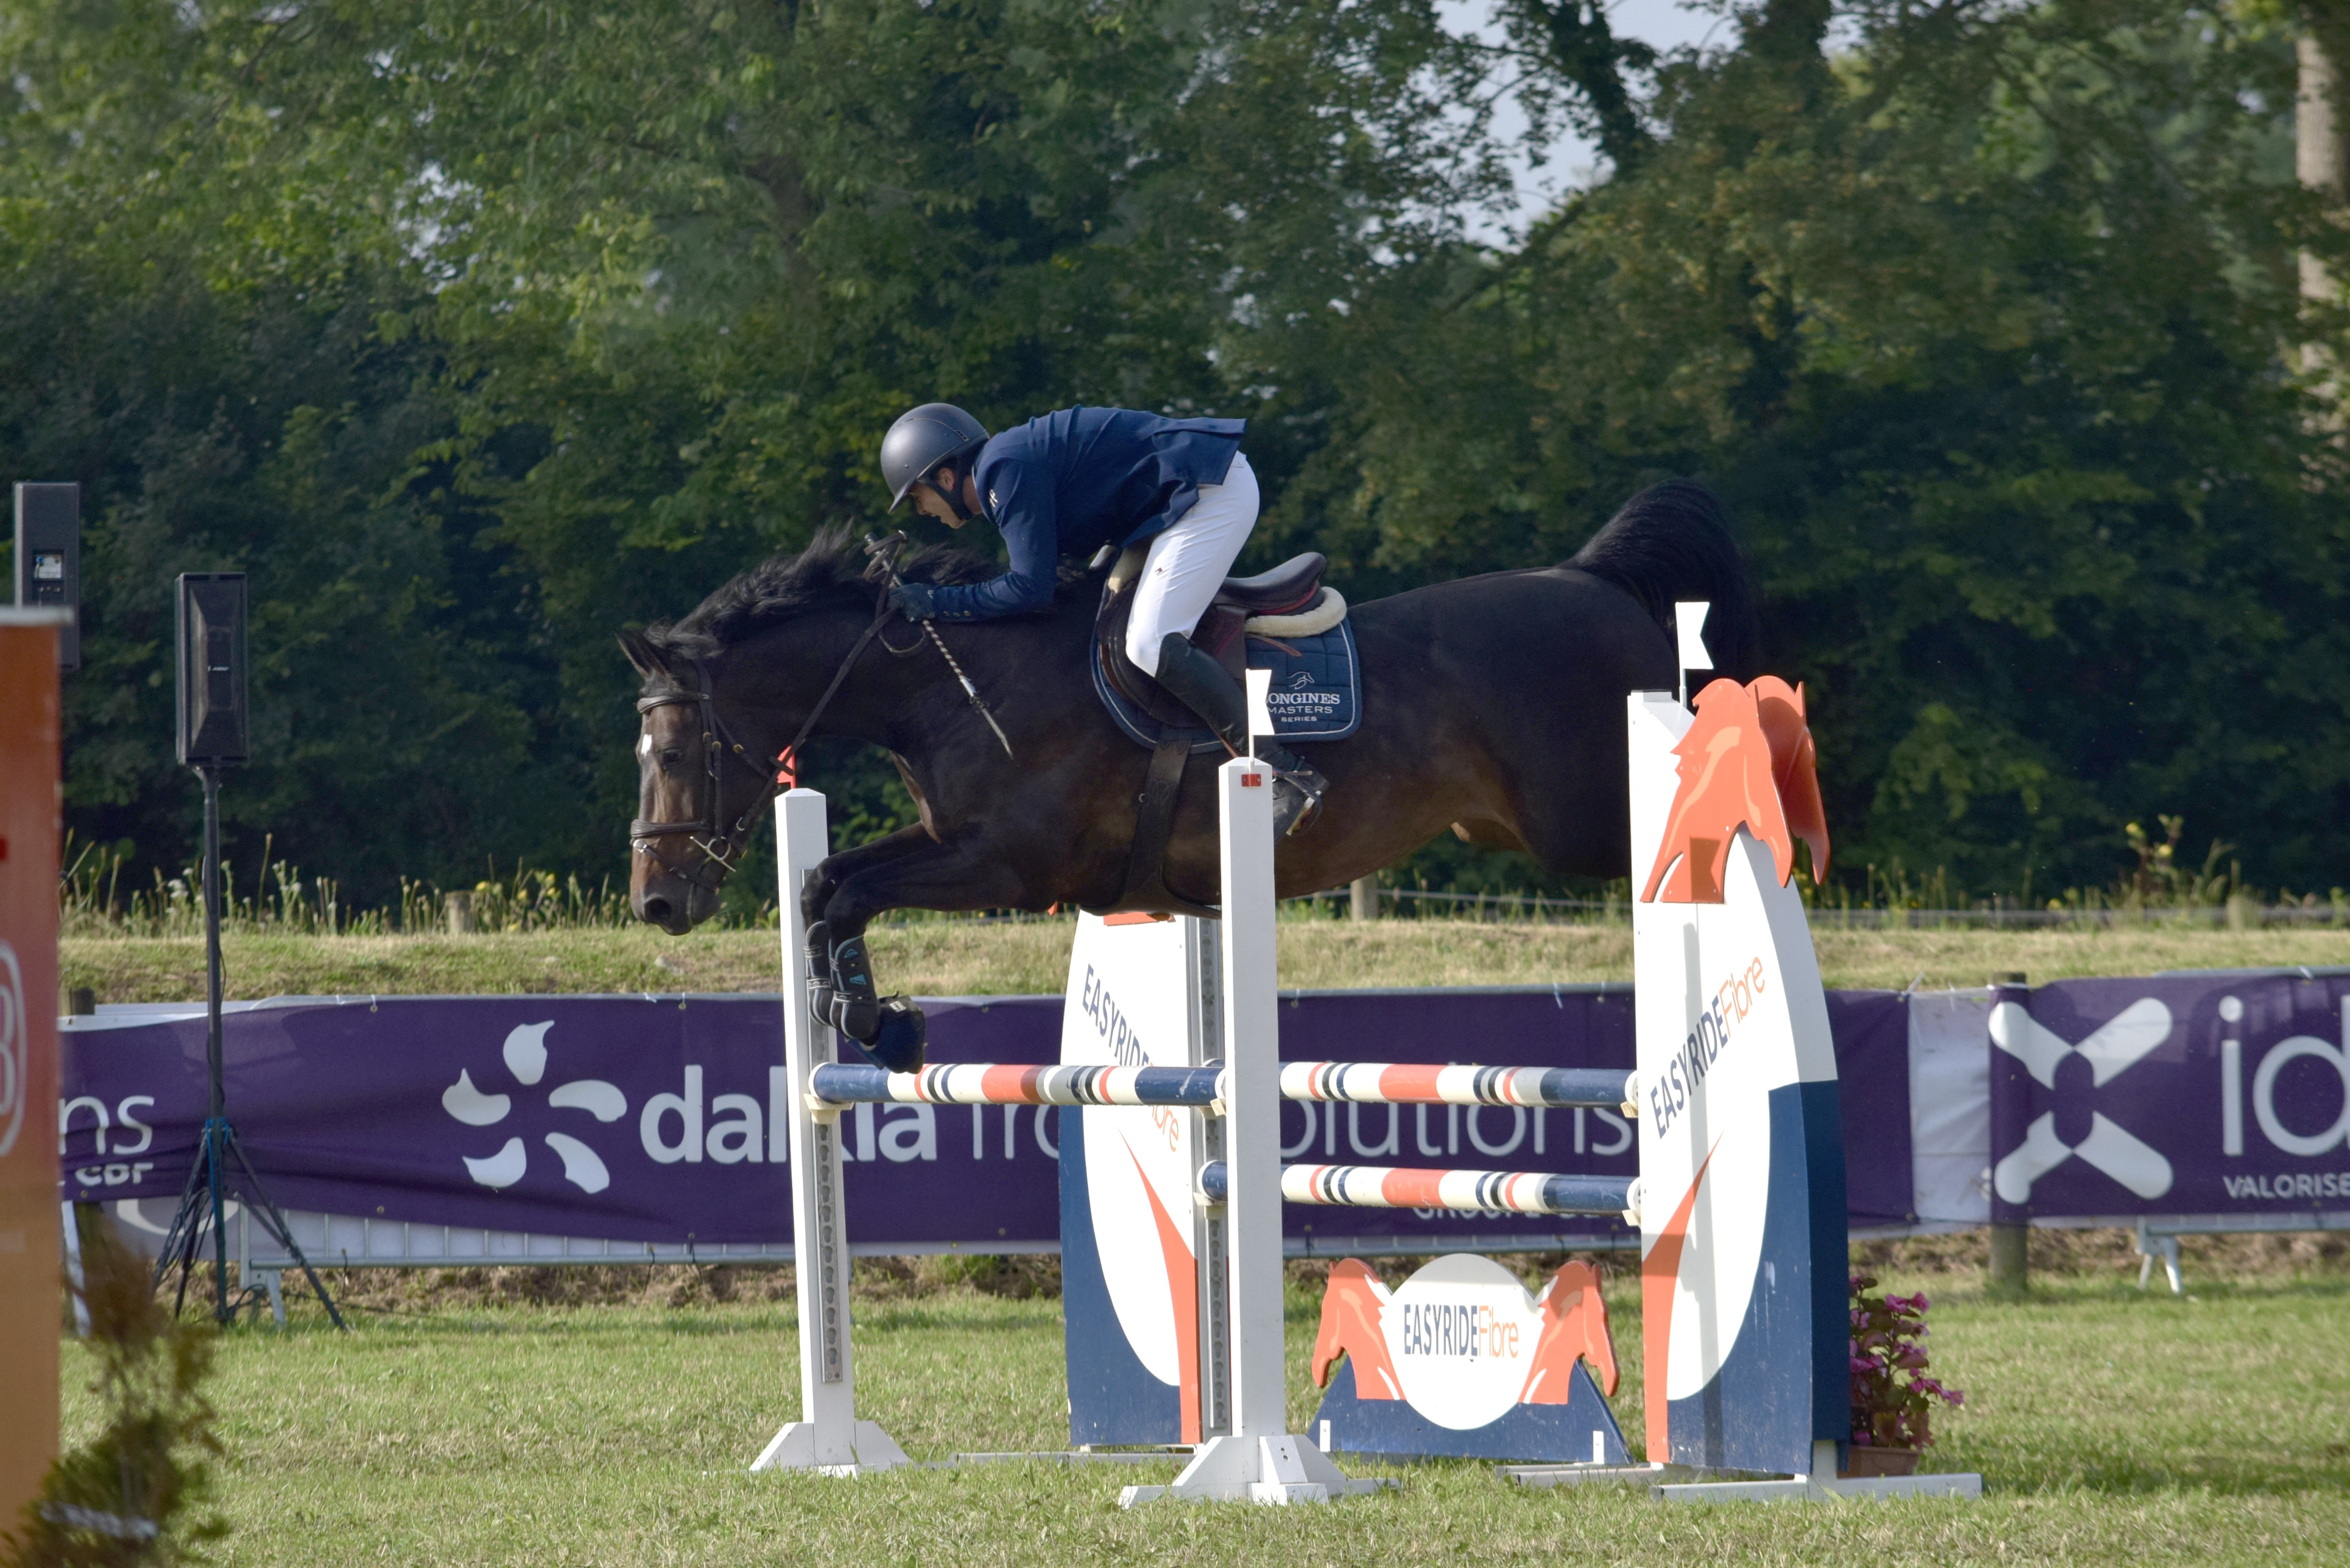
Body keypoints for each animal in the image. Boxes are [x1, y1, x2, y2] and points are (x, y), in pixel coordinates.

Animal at [621, 479, 1761, 1061]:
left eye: (672, 753)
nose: (655, 903)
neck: (950, 680)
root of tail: (1593, 579)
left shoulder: (1007, 867)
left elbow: (851, 890)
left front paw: (873, 1017)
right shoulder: (954, 841)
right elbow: (826, 885)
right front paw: (868, 1016)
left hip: (1584, 818)